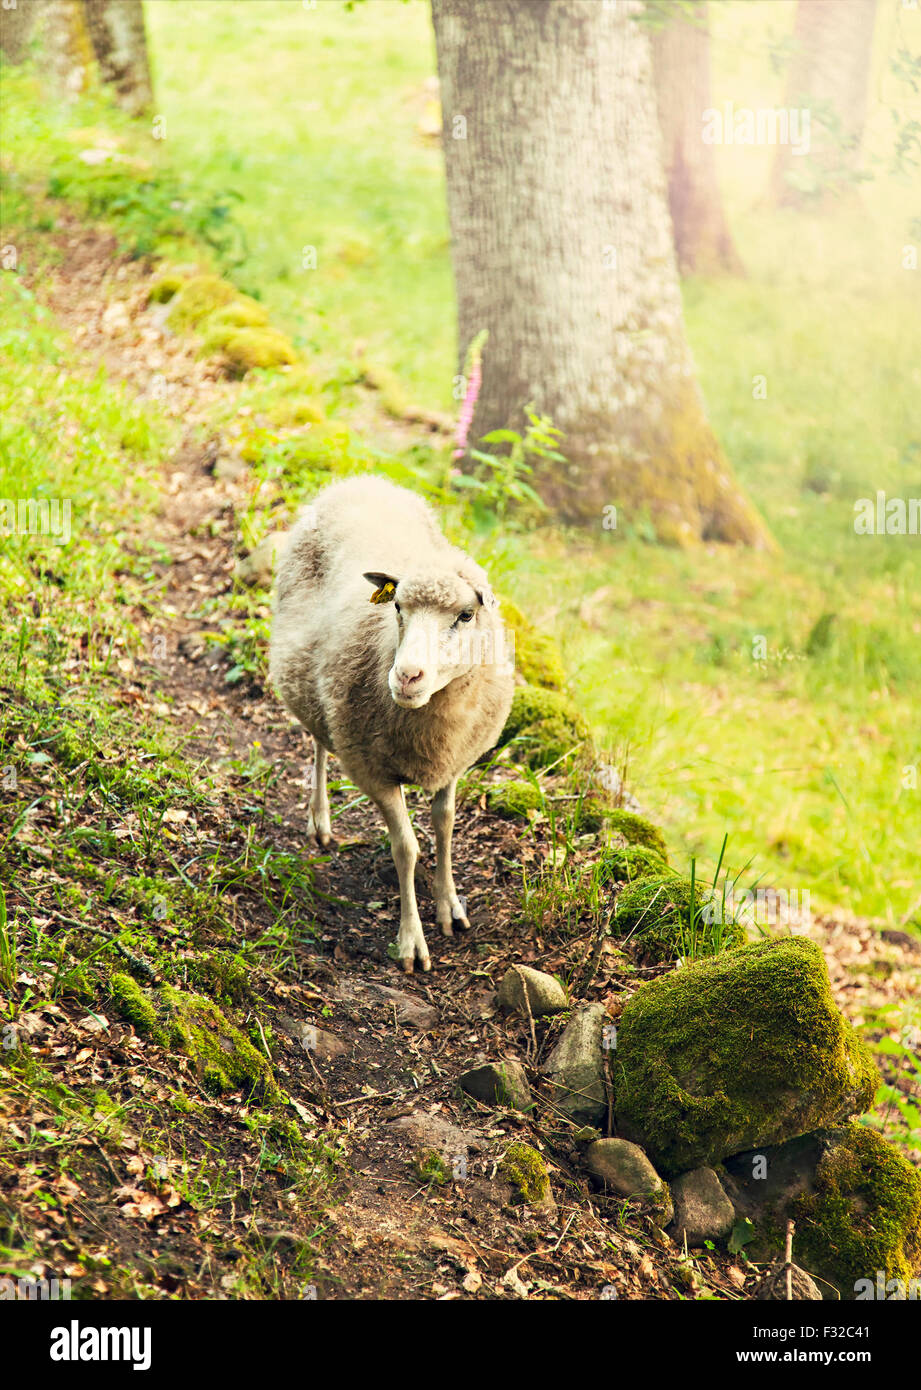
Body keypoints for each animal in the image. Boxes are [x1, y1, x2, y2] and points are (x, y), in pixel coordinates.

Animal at [269, 476, 514, 973]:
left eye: (466, 615)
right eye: (397, 607)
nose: (406, 677)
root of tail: (362, 479)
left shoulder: (454, 762)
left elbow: (445, 824)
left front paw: (449, 906)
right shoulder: (372, 771)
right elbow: (406, 848)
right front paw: (411, 942)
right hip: (316, 690)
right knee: (319, 742)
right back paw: (320, 819)